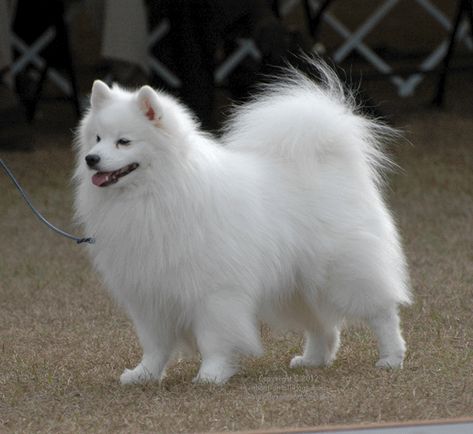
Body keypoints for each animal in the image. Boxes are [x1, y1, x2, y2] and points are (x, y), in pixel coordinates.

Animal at [74, 60, 410, 384]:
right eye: (97, 138)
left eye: (124, 142)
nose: (92, 159)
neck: (154, 193)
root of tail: (328, 159)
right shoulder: (148, 294)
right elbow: (155, 344)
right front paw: (144, 374)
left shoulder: (214, 292)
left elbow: (212, 339)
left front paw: (211, 375)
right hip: (296, 285)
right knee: (320, 323)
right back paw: (313, 359)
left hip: (344, 271)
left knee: (381, 312)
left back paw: (391, 357)